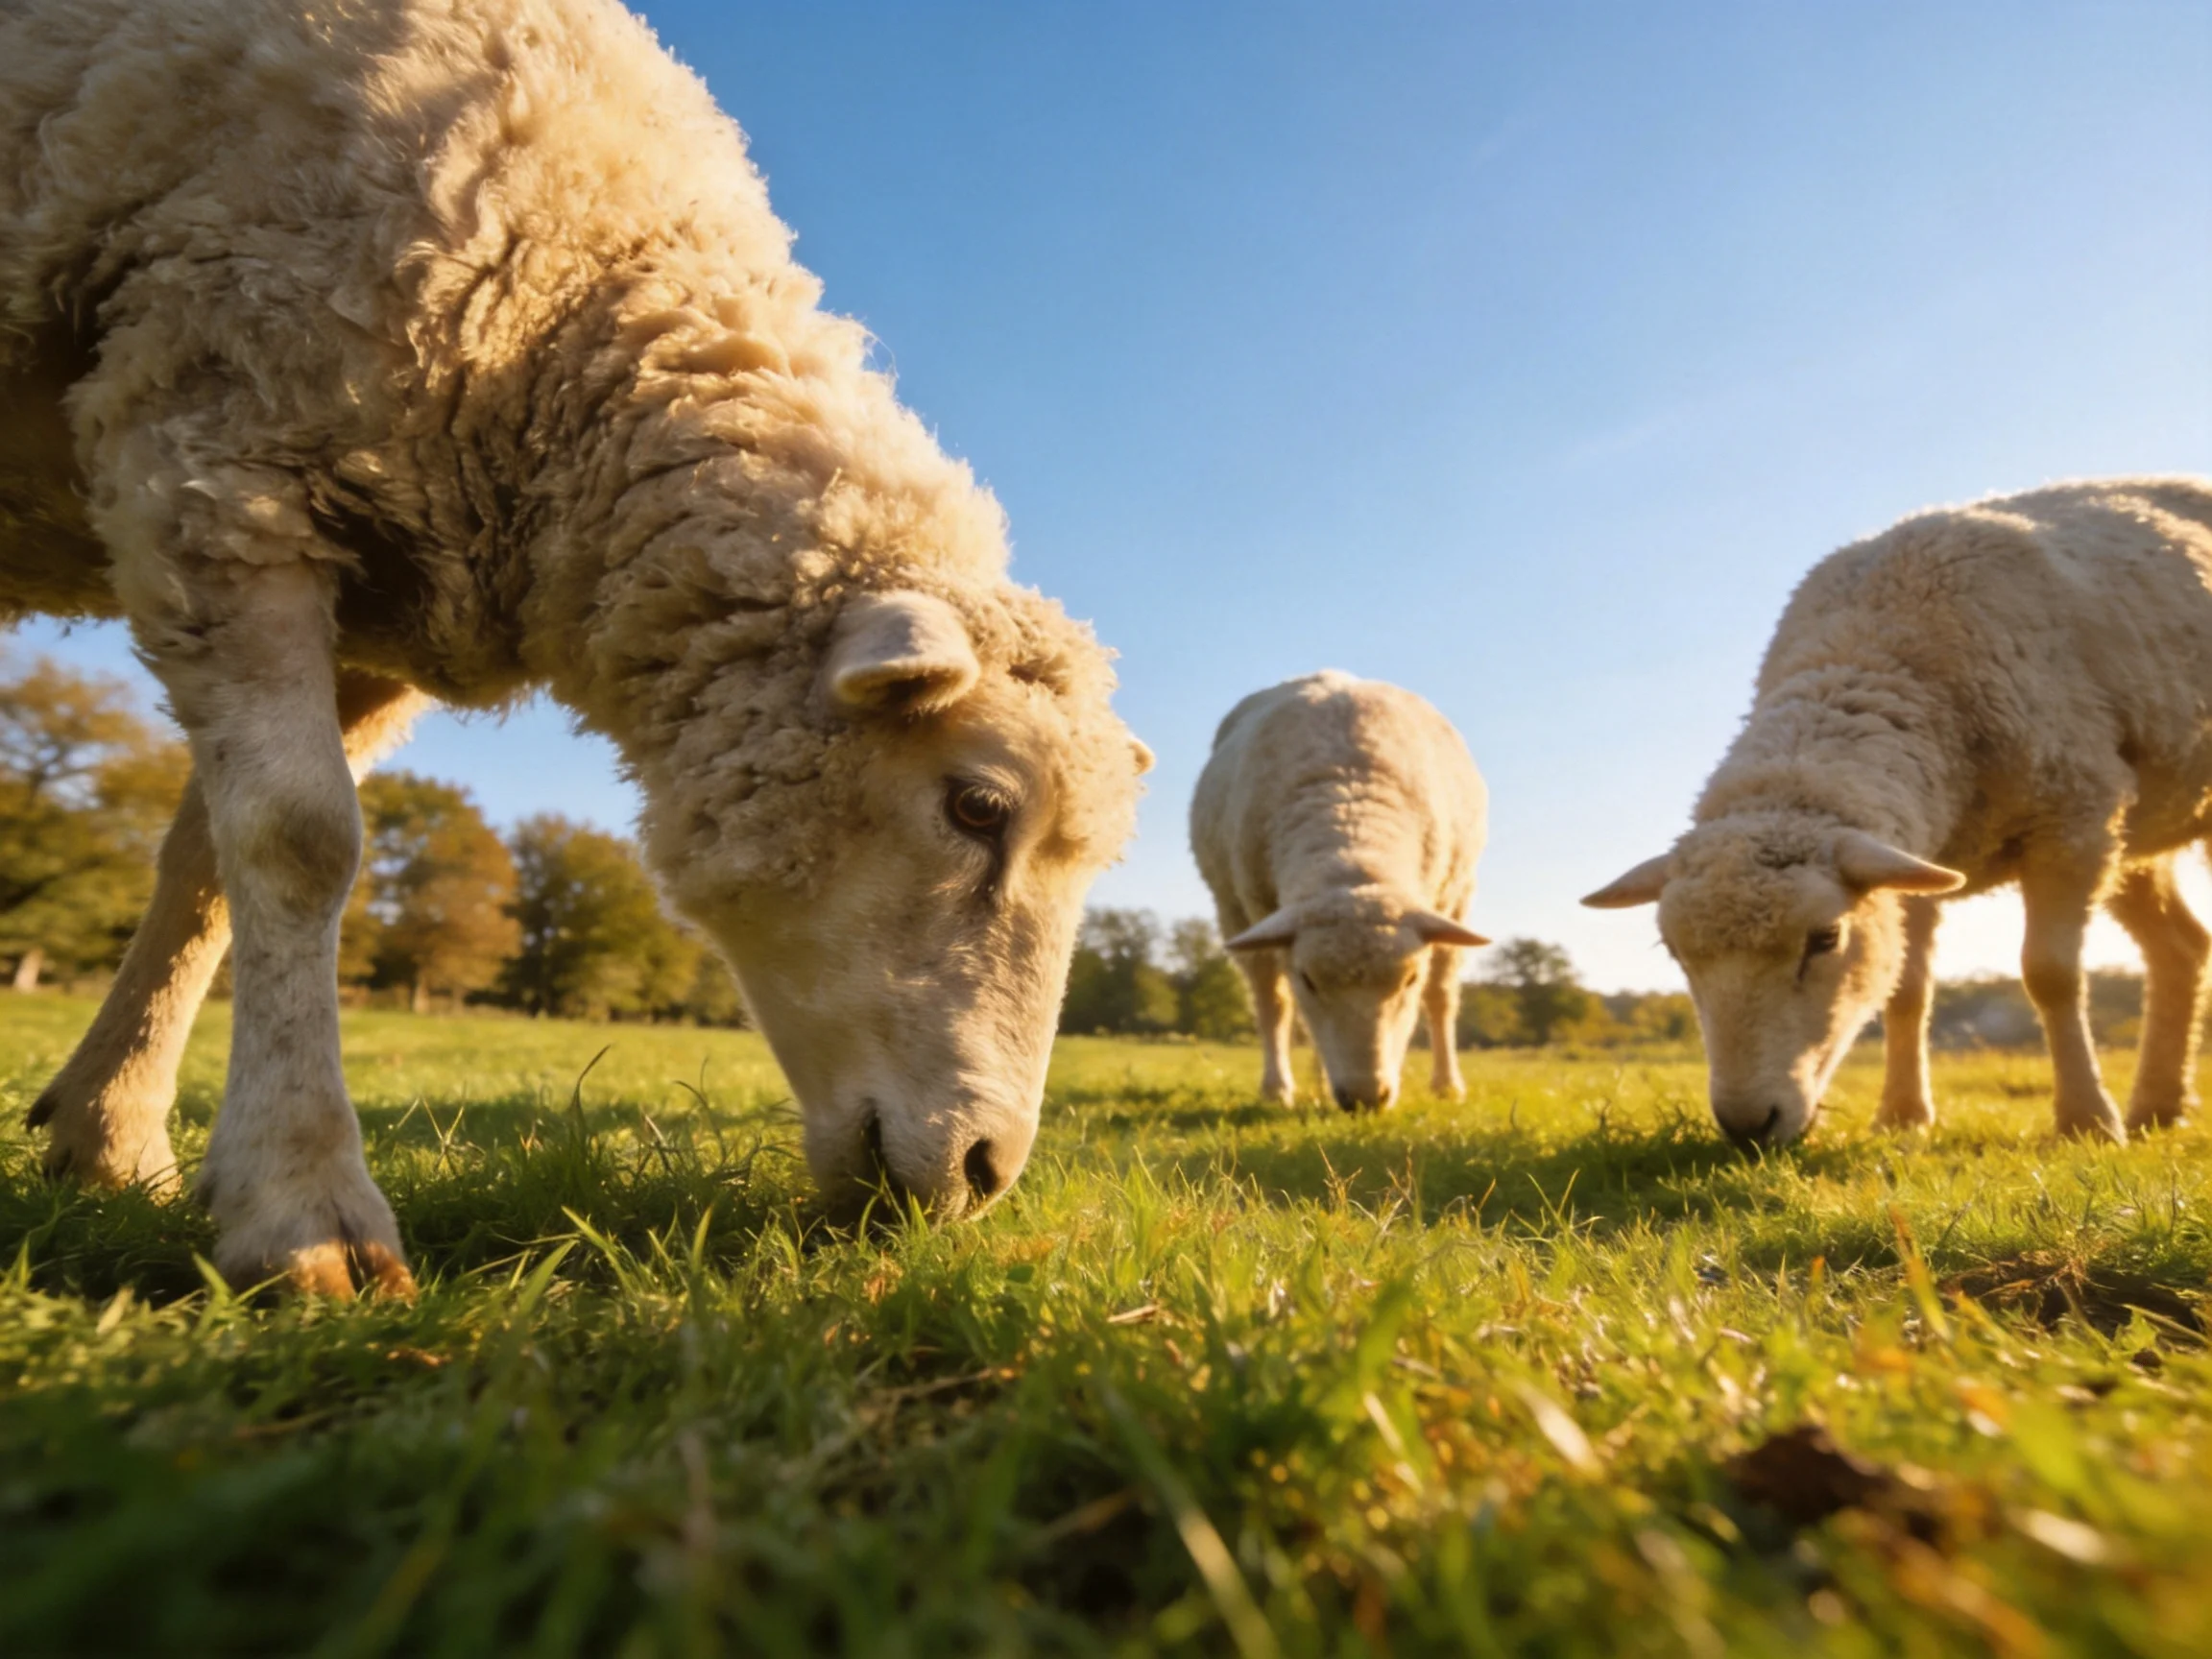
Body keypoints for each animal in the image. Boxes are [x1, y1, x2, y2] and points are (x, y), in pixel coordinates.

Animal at [0, 0, 1148, 1295]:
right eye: (977, 807)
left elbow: (207, 864)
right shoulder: (217, 457)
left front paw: (110, 1134)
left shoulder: (371, 614)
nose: (985, 1172)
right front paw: (303, 1208)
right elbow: (300, 839)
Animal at [1191, 672, 1489, 1110]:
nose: (1366, 1098)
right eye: (1309, 979)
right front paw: (1277, 1089)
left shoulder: (1454, 898)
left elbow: (1440, 995)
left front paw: (1448, 1085)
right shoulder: (1254, 906)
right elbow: (1275, 1004)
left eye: (1410, 979)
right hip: (1232, 907)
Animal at [1584, 477, 2212, 1147]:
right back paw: (2159, 1106)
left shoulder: (2073, 816)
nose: (1749, 1125)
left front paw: (2087, 1122)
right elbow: (1905, 989)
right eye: (1676, 954)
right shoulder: (1914, 859)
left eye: (1825, 938)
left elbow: (2050, 974)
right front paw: (1902, 1116)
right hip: (2132, 839)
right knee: (2181, 947)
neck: (1873, 651)